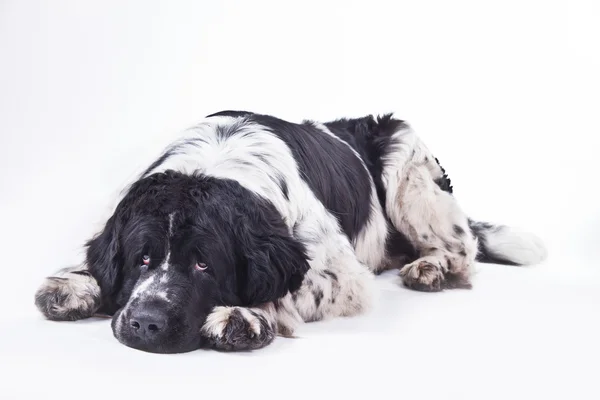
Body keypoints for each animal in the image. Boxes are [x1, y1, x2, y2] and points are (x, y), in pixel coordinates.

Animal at [32, 110, 548, 354]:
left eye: (203, 264)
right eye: (142, 257)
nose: (146, 323)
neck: (219, 161)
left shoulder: (341, 273)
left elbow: (288, 287)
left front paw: (246, 316)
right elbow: (95, 260)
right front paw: (74, 285)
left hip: (409, 170)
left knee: (461, 248)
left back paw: (431, 267)